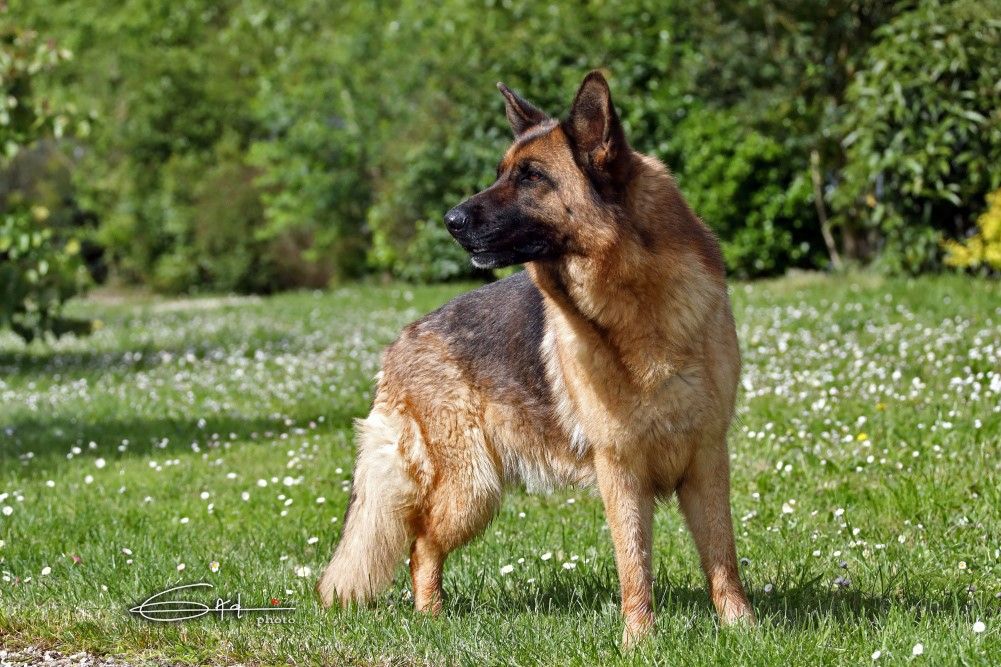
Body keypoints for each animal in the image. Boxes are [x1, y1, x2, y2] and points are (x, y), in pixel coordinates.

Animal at [317, 70, 754, 643]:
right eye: (502, 174)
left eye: (531, 177)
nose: (450, 219)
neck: (638, 306)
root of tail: (401, 341)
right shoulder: (620, 470)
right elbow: (634, 565)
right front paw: (639, 640)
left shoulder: (706, 460)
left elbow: (722, 556)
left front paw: (742, 627)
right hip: (472, 489)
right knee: (421, 545)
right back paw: (431, 618)